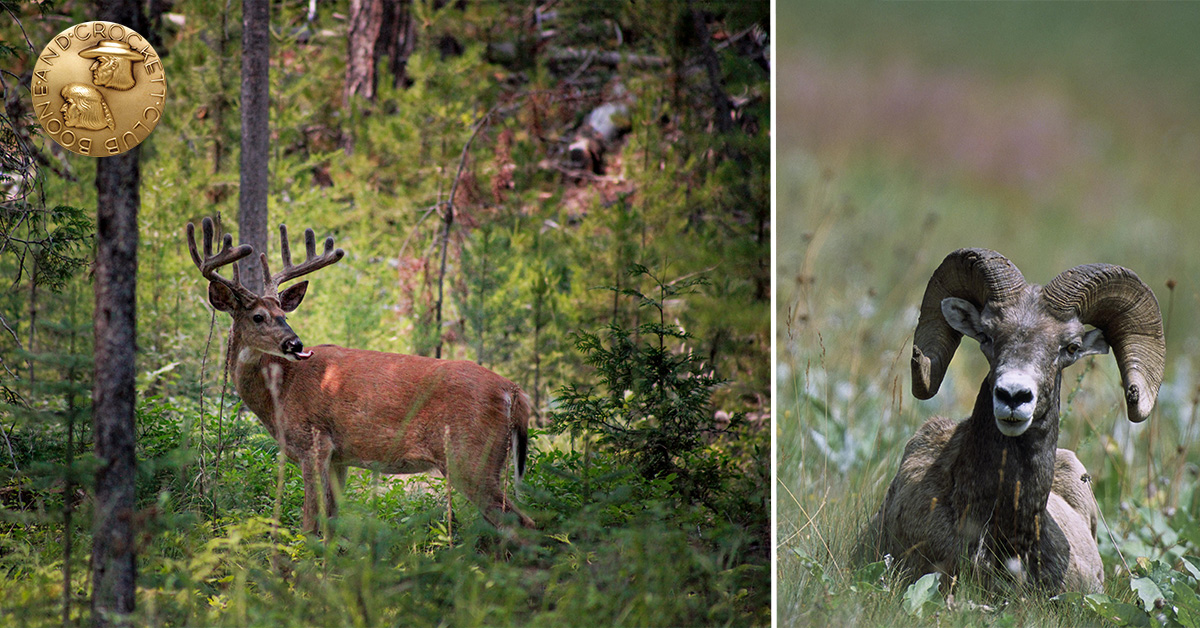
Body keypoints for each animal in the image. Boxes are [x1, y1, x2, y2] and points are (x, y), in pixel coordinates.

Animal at [186, 217, 535, 534]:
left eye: (283, 314)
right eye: (258, 317)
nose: (295, 344)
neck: (279, 393)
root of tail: (514, 391)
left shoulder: (313, 442)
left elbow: (308, 524)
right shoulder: (339, 457)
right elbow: (331, 523)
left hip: (470, 456)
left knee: (523, 523)